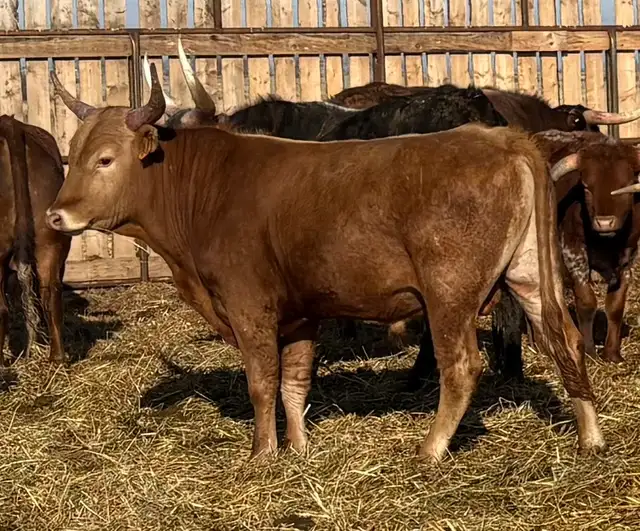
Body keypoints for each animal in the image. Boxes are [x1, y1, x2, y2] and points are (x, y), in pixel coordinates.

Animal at [46, 64, 607, 462]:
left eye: (105, 159)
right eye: (74, 151)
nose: (56, 214)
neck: (209, 184)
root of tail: (503, 140)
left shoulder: (250, 307)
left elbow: (262, 381)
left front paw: (262, 454)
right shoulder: (301, 314)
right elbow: (295, 381)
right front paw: (297, 446)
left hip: (450, 294)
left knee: (462, 365)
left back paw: (430, 449)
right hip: (528, 273)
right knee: (564, 338)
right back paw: (590, 436)